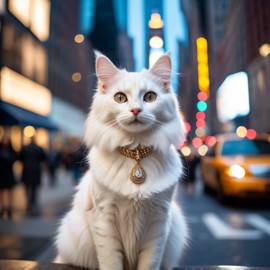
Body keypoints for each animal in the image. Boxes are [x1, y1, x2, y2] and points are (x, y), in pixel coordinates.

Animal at [55, 51, 188, 268]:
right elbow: (111, 262)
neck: (136, 155)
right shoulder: (103, 217)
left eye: (150, 97)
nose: (135, 110)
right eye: (120, 98)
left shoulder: (159, 220)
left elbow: (150, 263)